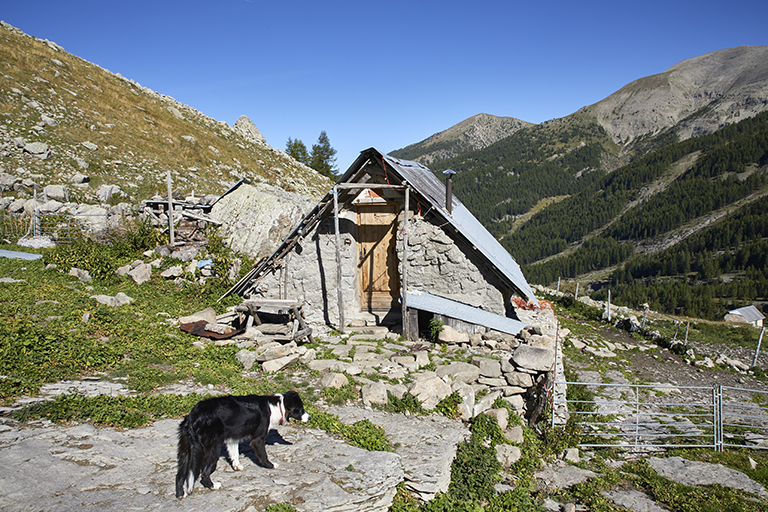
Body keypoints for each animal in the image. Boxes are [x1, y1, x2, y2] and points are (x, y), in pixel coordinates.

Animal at [176, 392, 308, 496]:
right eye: (301, 409)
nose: (310, 417)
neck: (276, 407)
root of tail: (192, 417)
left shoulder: (232, 438)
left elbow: (234, 453)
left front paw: (237, 466)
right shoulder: (258, 438)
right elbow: (263, 455)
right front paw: (270, 465)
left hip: (185, 451)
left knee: (179, 474)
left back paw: (180, 494)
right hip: (214, 447)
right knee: (204, 474)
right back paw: (213, 486)